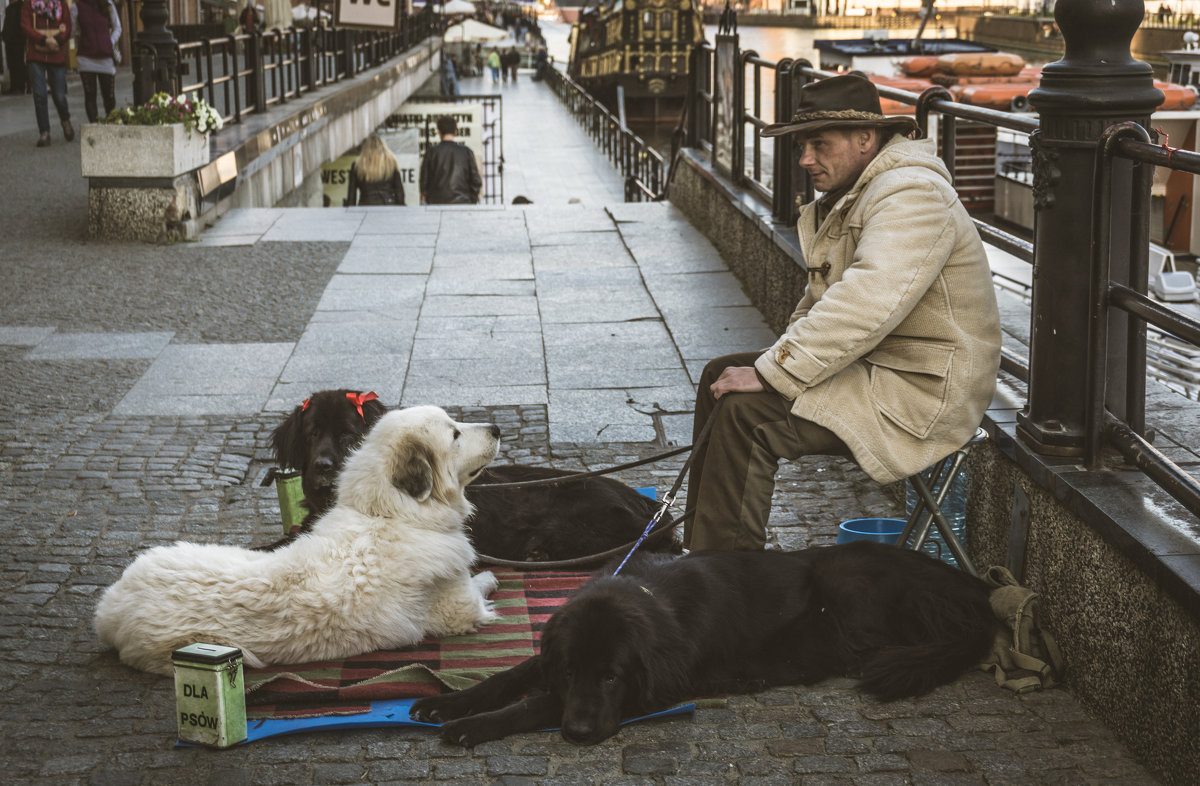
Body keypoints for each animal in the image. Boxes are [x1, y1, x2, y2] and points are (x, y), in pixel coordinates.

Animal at [94, 405, 501, 676]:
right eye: (455, 434)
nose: (497, 427)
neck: (390, 514)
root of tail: (109, 609)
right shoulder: (460, 611)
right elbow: (479, 588)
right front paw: (491, 578)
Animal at [410, 544, 993, 748]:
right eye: (573, 670)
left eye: (612, 676)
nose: (577, 735)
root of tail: (969, 584)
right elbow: (514, 673)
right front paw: (449, 701)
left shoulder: (654, 689)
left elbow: (537, 702)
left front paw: (471, 724)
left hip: (842, 574)